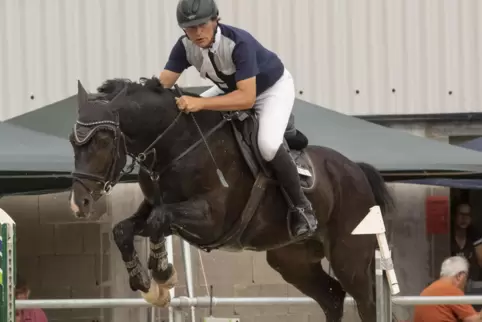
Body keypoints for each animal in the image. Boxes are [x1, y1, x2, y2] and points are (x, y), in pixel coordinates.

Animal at [69, 77, 394, 322]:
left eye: (102, 140)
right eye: (73, 141)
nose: (79, 203)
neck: (177, 143)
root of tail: (356, 169)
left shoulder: (212, 218)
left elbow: (160, 220)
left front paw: (162, 273)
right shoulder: (153, 205)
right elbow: (126, 228)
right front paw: (150, 283)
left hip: (350, 256)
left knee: (365, 303)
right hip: (291, 260)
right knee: (332, 298)